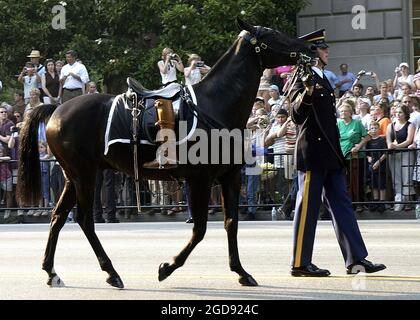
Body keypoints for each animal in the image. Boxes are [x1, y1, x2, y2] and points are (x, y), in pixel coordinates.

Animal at [18, 18, 316, 288]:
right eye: (272, 35)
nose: (310, 47)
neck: (214, 106)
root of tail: (56, 110)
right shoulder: (200, 180)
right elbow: (200, 229)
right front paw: (167, 267)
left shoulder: (229, 177)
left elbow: (231, 222)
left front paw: (241, 271)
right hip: (85, 175)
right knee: (83, 219)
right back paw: (111, 272)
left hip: (74, 177)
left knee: (58, 217)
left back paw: (52, 271)